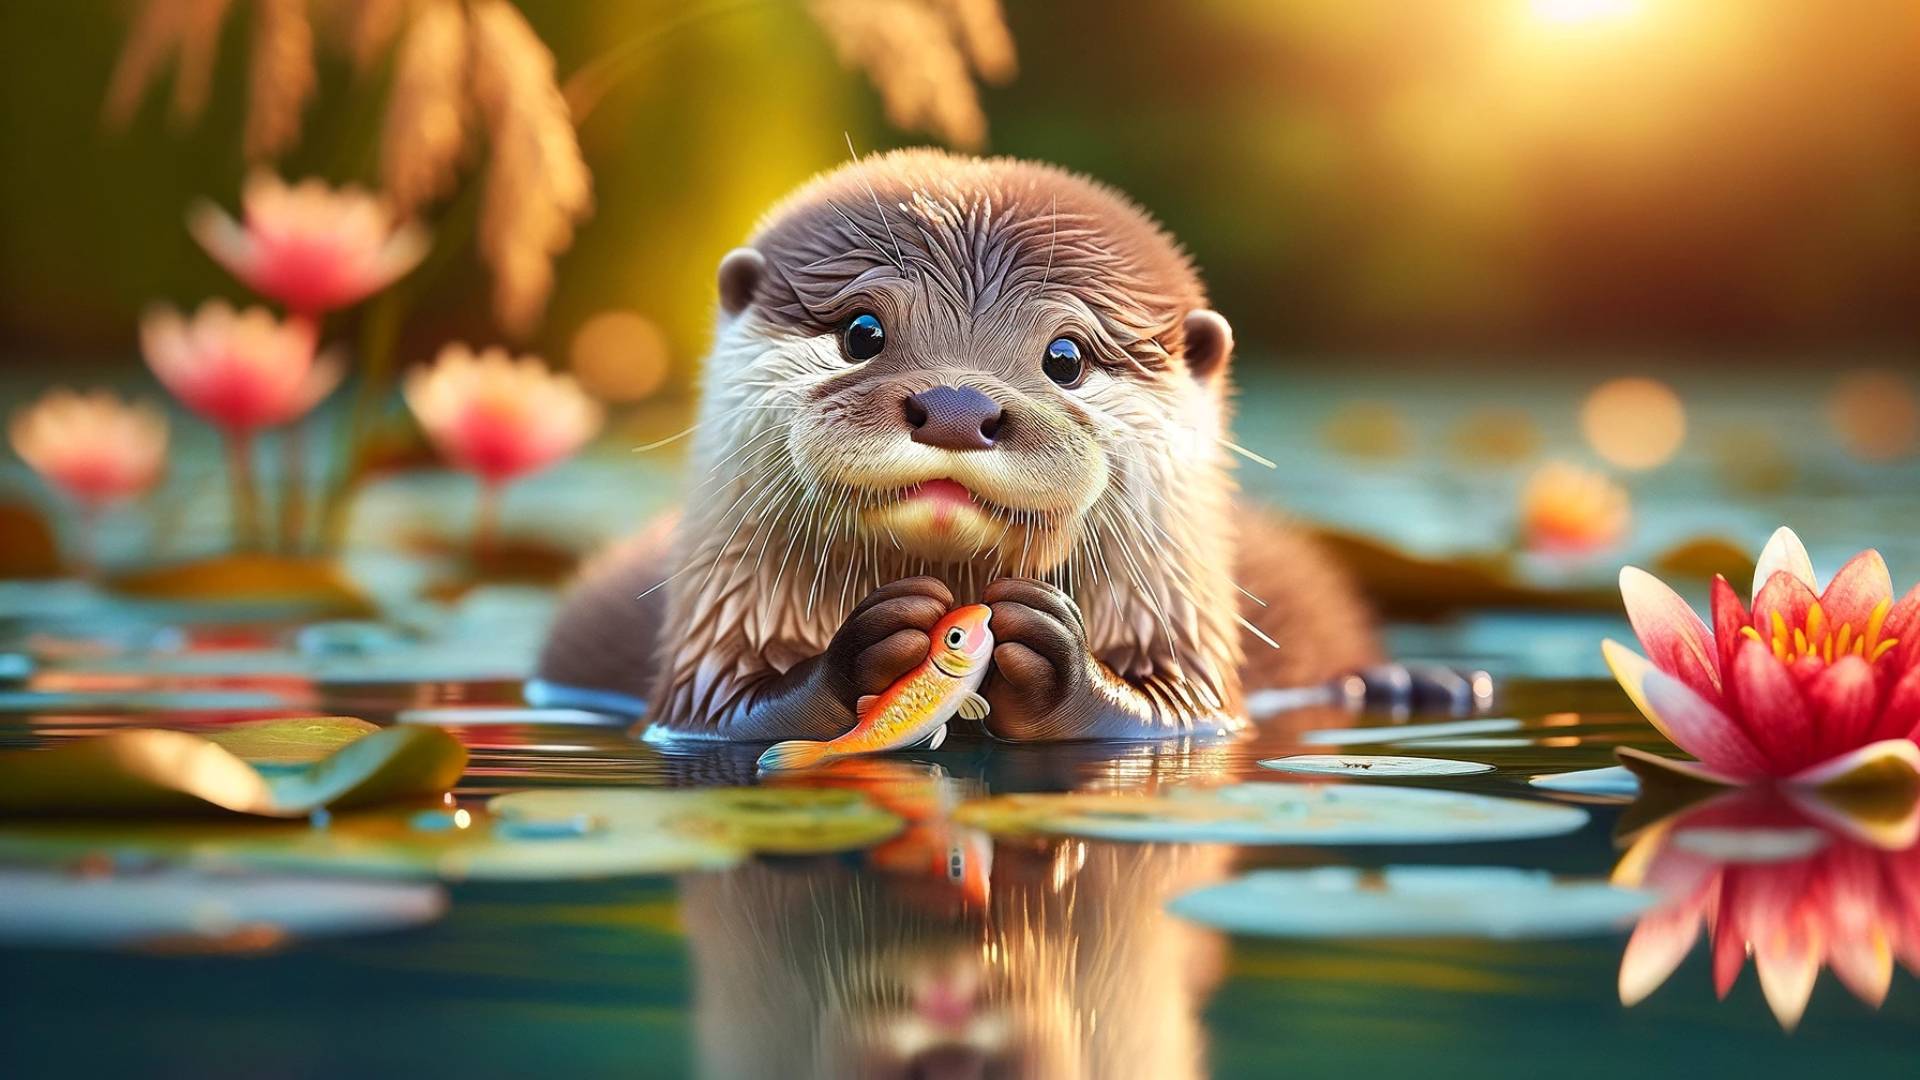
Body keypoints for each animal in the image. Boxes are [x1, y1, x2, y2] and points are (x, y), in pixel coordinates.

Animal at [538, 149, 1390, 741]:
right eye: (862, 332)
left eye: (1066, 357)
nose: (956, 406)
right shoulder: (703, 676)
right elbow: (731, 716)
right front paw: (871, 642)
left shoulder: (1194, 674)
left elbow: (1170, 717)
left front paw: (1058, 653)